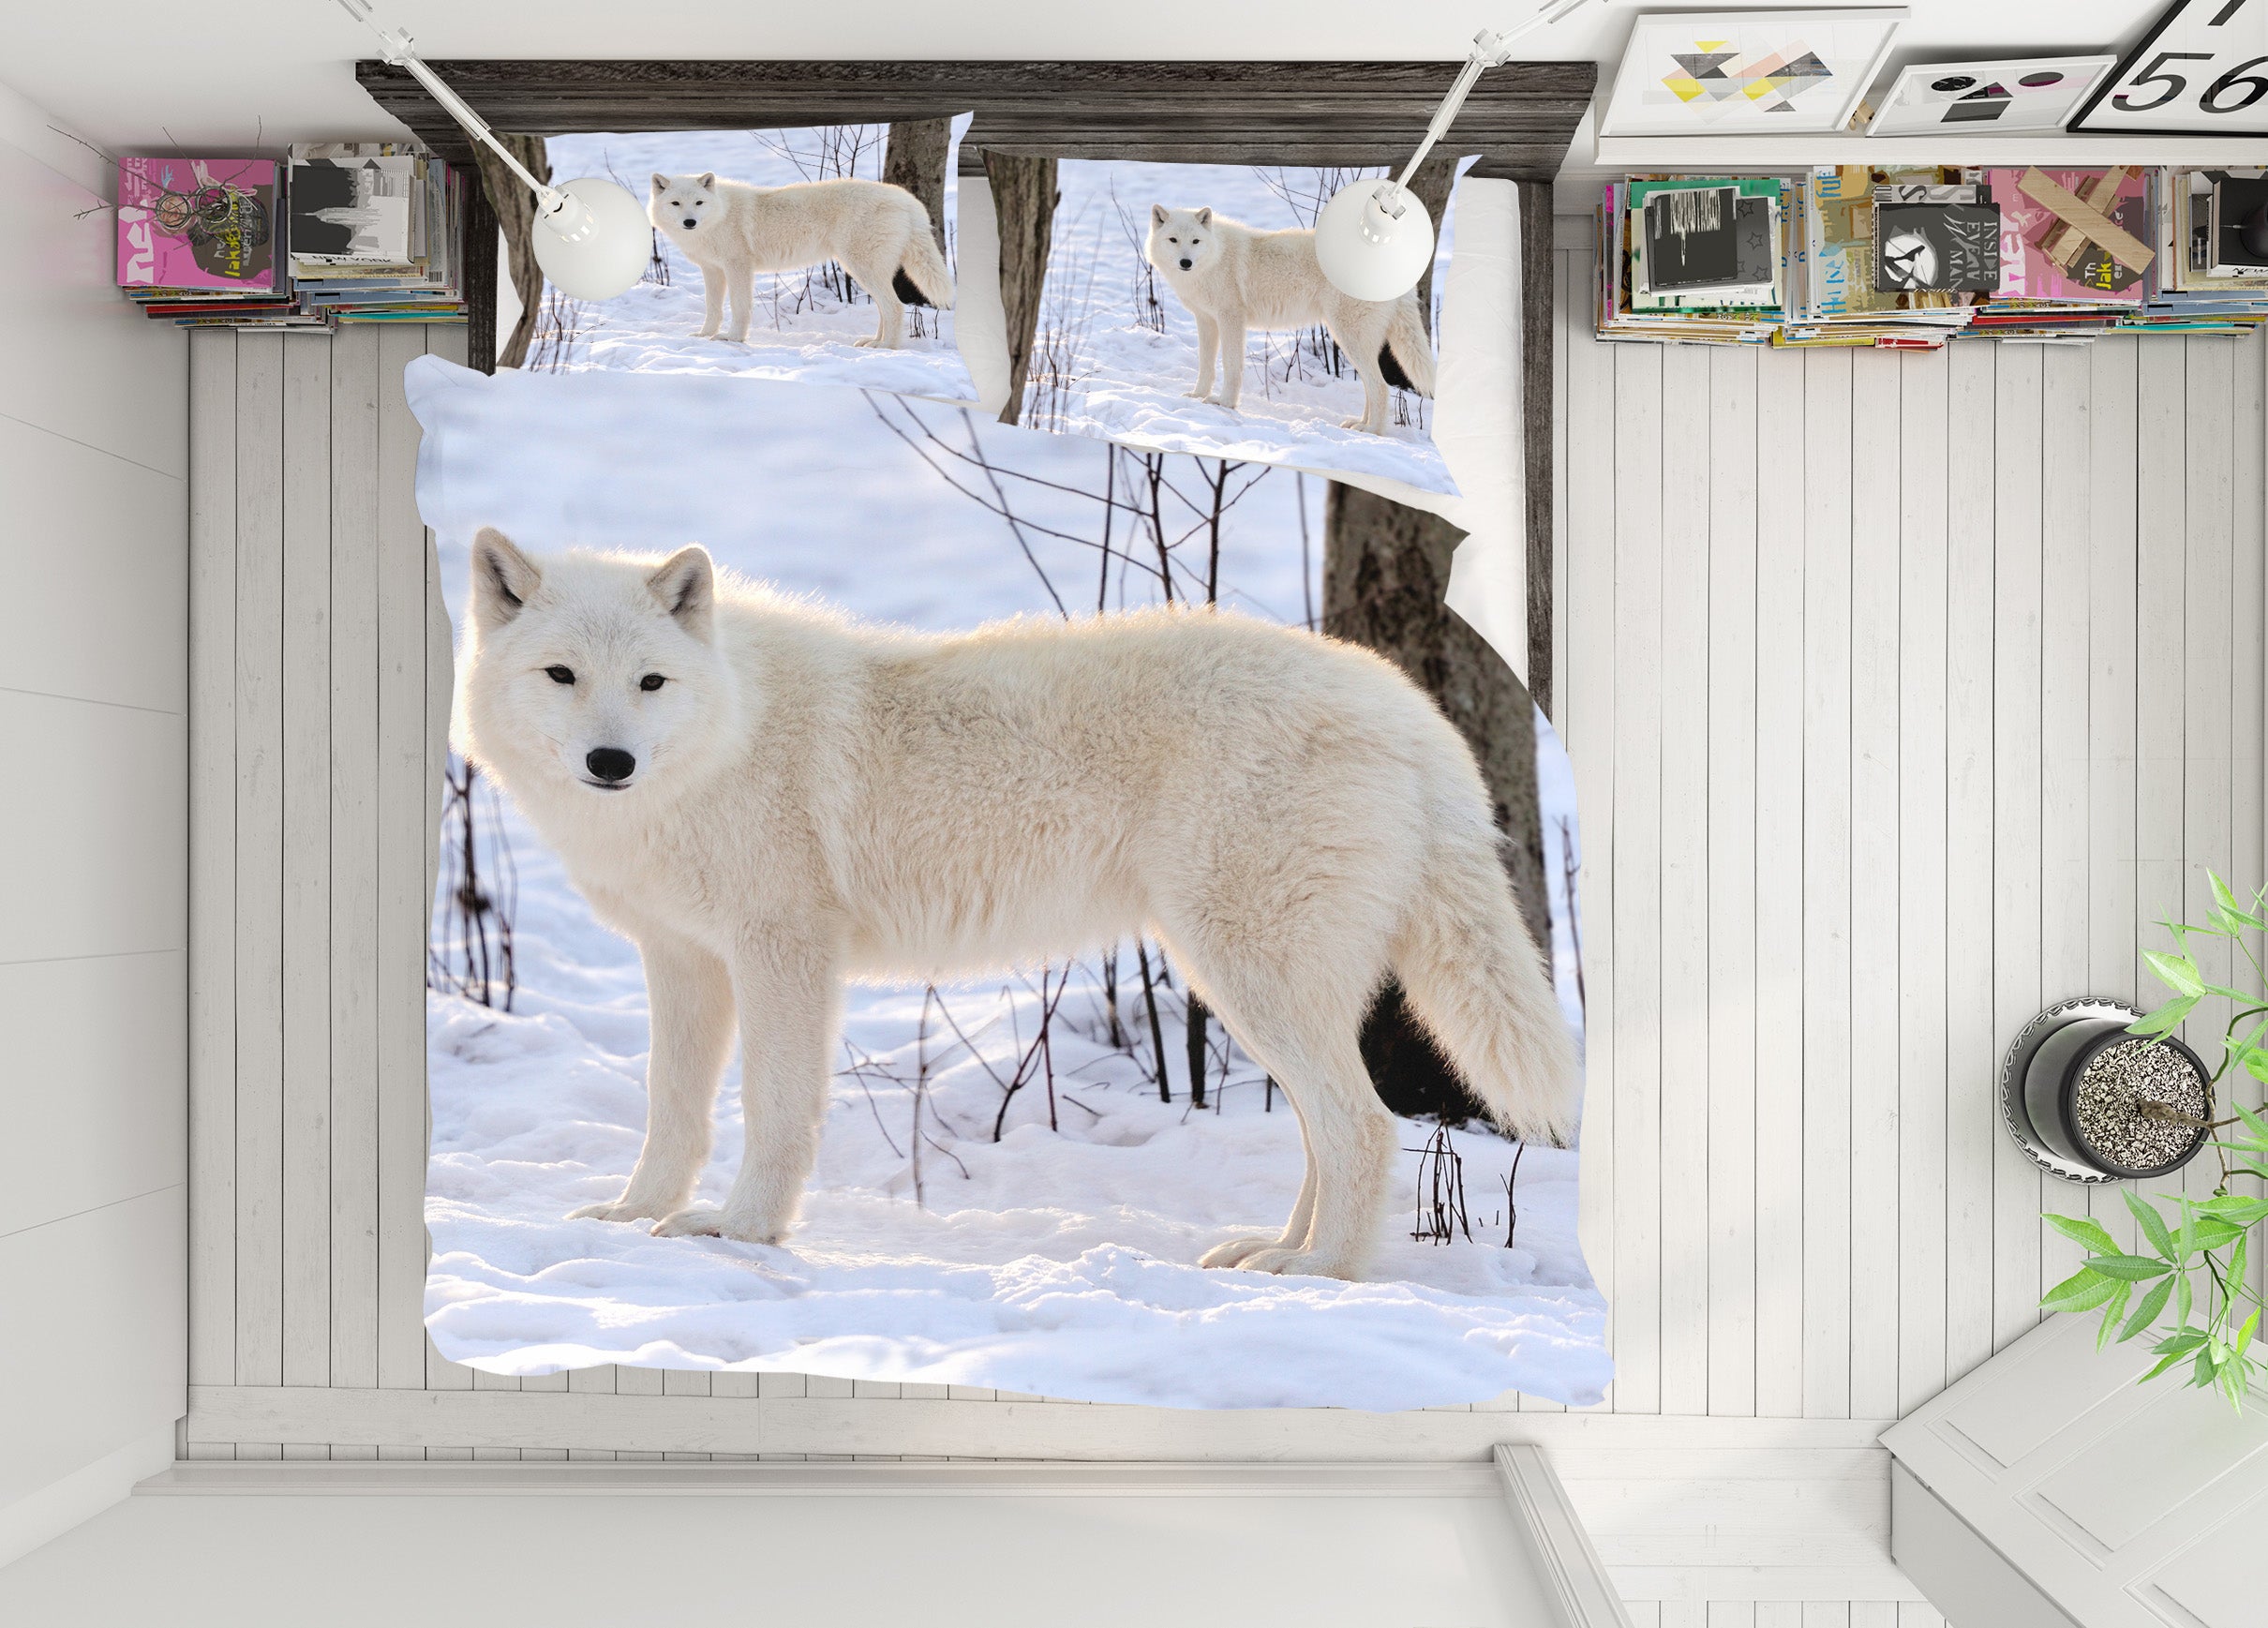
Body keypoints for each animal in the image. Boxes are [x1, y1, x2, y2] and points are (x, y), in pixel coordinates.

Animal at [457, 533, 1576, 1282]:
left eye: (651, 681)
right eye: (562, 676)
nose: (611, 761)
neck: (730, 731)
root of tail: (1410, 713)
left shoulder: (783, 953)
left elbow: (772, 1109)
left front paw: (739, 1234)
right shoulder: (682, 959)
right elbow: (671, 1109)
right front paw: (635, 1213)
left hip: (1243, 975)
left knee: (1364, 1126)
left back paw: (1316, 1277)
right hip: (1257, 986)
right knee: (1331, 1131)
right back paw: (1276, 1250)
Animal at [648, 173, 954, 349]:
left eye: (699, 203)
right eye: (676, 204)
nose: (690, 222)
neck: (721, 213)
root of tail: (908, 201)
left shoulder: (738, 267)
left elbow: (739, 307)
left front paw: (733, 339)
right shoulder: (712, 270)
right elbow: (713, 309)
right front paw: (704, 336)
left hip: (860, 268)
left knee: (895, 307)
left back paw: (886, 347)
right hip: (865, 271)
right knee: (886, 309)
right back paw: (874, 341)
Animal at [1144, 204, 1436, 436]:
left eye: (1195, 241)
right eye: (1173, 240)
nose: (1185, 262)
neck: (1215, 257)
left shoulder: (1230, 318)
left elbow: (1231, 365)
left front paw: (1225, 404)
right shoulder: (1206, 320)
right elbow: (1205, 365)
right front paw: (1198, 396)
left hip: (1348, 337)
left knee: (1380, 387)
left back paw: (1371, 431)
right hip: (1354, 341)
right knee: (1371, 387)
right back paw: (1359, 424)